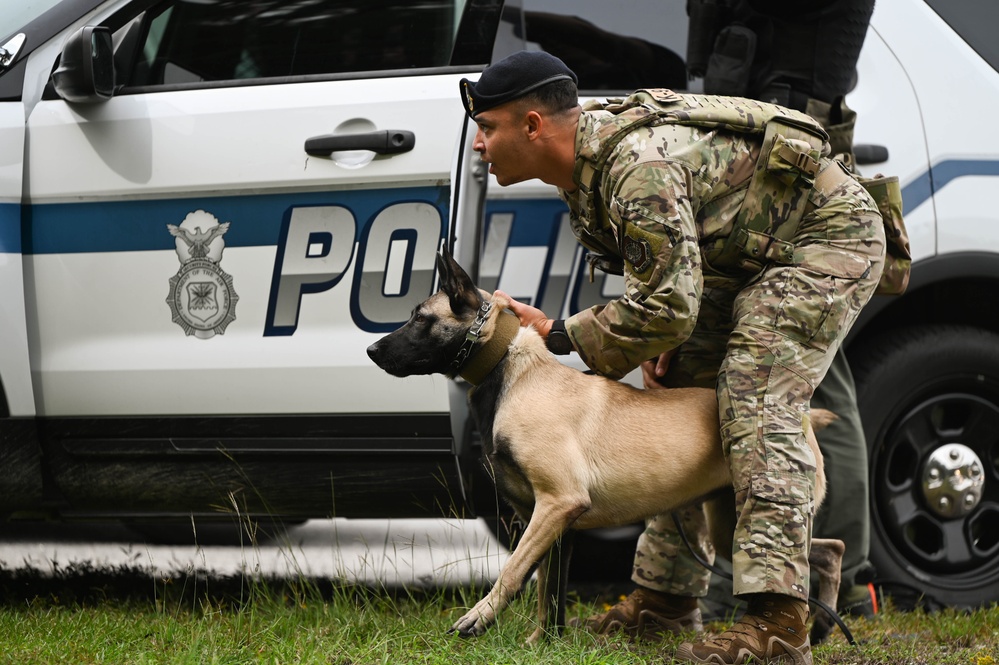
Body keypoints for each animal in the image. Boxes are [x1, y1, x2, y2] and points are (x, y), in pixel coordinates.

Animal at [368, 245, 844, 644]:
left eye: (419, 318)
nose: (371, 350)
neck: (511, 370)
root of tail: (804, 416)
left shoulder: (557, 504)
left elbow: (513, 571)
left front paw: (478, 617)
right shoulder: (552, 524)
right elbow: (547, 595)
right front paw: (542, 644)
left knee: (814, 557)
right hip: (732, 530)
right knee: (822, 554)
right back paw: (819, 627)